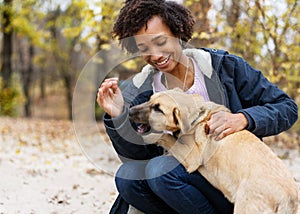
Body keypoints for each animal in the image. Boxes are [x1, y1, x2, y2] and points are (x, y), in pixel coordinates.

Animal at [128, 88, 298, 214]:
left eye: (158, 109)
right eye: (149, 100)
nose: (129, 111)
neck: (197, 118)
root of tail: (289, 198)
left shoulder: (192, 157)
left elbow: (165, 136)